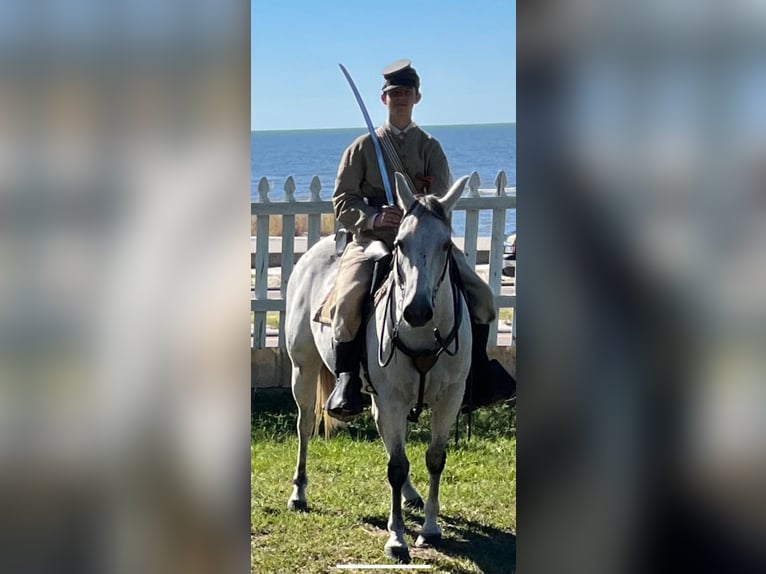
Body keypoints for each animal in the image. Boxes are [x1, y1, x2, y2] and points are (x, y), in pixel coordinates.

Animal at [284, 173, 472, 564]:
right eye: (400, 242)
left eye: (447, 244)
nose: (417, 310)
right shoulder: (392, 399)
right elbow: (396, 467)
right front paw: (397, 538)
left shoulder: (449, 399)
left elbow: (435, 458)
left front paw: (430, 528)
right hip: (303, 369)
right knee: (305, 425)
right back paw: (298, 493)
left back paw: (412, 496)